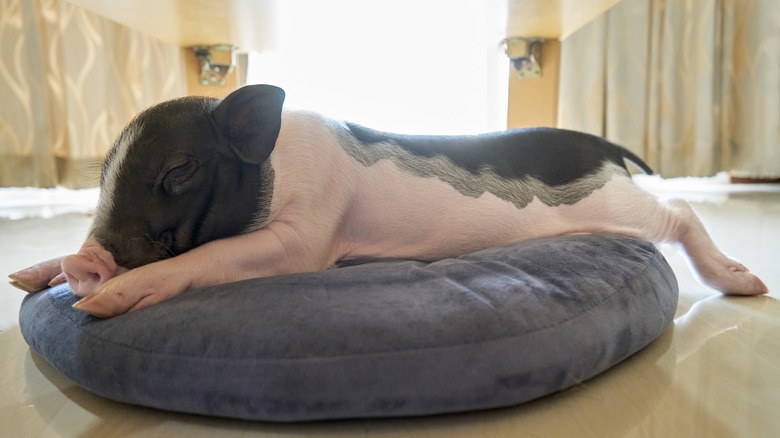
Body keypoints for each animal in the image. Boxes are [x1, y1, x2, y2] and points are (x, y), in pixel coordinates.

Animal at [7, 84, 768, 316]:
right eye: (106, 170)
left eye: (179, 169)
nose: (89, 263)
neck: (279, 167)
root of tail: (599, 145)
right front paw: (26, 277)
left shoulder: (306, 238)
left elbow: (209, 257)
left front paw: (99, 305)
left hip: (617, 205)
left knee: (682, 215)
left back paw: (746, 283)